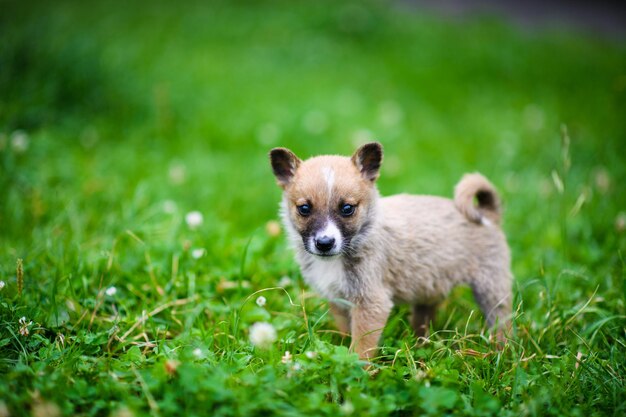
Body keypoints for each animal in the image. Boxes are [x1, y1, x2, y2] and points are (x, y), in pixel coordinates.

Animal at [266, 141, 508, 360]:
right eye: (304, 209)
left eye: (347, 209)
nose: (325, 243)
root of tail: (487, 214)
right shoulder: (338, 300)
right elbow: (346, 332)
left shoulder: (372, 303)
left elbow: (361, 347)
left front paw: (356, 370)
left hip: (491, 286)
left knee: (503, 322)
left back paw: (501, 352)